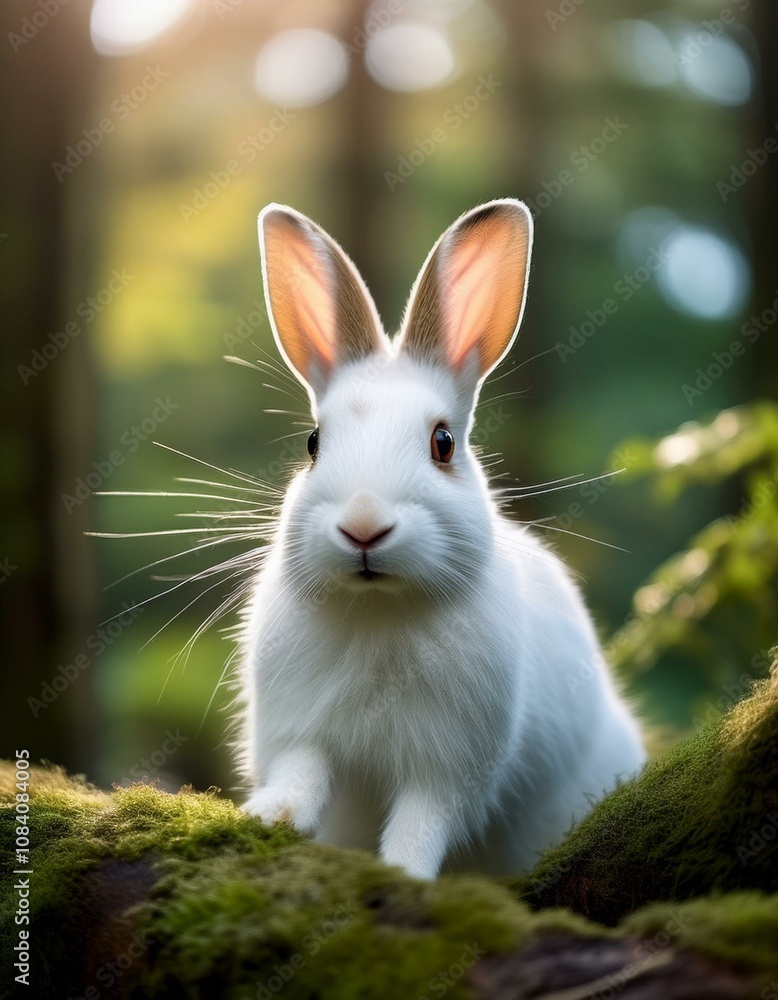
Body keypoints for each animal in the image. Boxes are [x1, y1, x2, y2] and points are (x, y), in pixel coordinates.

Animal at [238, 198, 645, 880]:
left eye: (443, 443)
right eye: (313, 444)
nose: (364, 527)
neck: (380, 610)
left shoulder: (449, 769)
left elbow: (421, 822)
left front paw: (403, 874)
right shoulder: (302, 730)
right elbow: (302, 777)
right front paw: (266, 815)